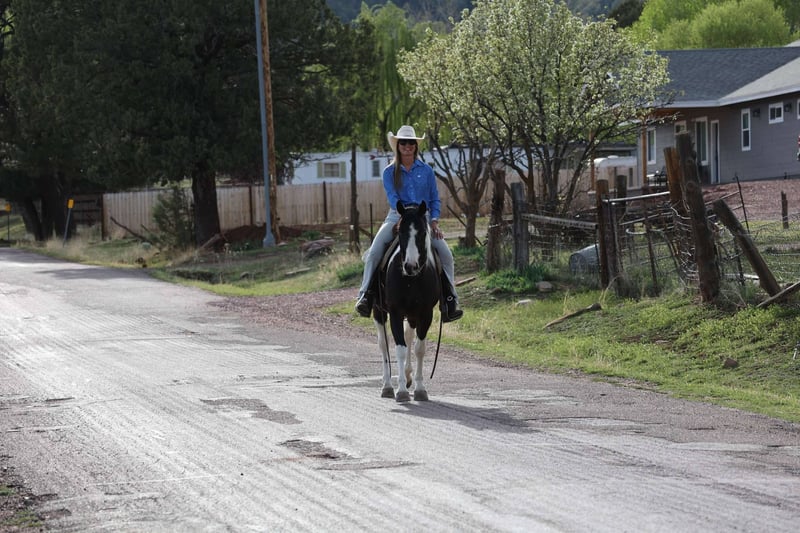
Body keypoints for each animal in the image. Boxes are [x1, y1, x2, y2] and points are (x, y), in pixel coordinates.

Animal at [373, 201, 442, 402]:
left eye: (423, 232)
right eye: (400, 231)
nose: (410, 266)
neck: (412, 280)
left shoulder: (426, 313)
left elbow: (419, 348)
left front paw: (419, 388)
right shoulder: (395, 312)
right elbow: (400, 348)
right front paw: (402, 390)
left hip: (412, 315)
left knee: (409, 336)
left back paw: (408, 375)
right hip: (379, 312)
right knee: (383, 344)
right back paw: (387, 386)